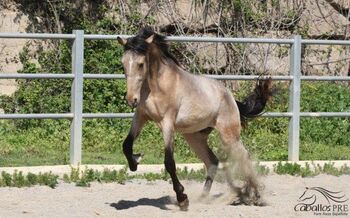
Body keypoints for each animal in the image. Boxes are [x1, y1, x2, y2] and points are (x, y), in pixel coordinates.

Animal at [116, 26, 272, 209]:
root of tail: (230, 96)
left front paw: (182, 198)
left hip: (228, 136)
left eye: (140, 64)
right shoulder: (141, 117)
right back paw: (209, 197)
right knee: (212, 161)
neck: (157, 86)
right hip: (194, 137)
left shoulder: (167, 123)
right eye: (123, 64)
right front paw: (135, 162)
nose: (131, 99)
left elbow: (169, 162)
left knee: (244, 158)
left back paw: (255, 196)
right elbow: (126, 145)